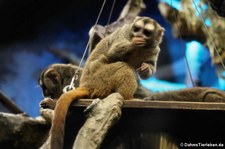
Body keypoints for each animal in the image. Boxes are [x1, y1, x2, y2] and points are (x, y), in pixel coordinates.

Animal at [49, 16, 164, 148]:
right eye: (136, 29)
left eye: (146, 32)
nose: (138, 36)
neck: (142, 47)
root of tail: (86, 84)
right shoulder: (123, 33)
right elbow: (112, 53)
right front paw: (134, 43)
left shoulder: (154, 49)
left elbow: (150, 67)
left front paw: (146, 68)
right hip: (100, 78)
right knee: (123, 66)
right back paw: (129, 97)